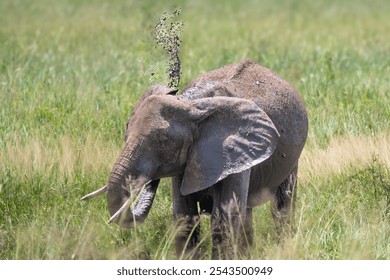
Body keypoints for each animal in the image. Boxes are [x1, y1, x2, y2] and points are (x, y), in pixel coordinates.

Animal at [81, 59, 308, 260]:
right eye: (126, 133)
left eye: (163, 141)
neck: (191, 104)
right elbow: (185, 217)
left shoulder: (236, 151)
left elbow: (224, 219)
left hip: (292, 160)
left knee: (282, 206)